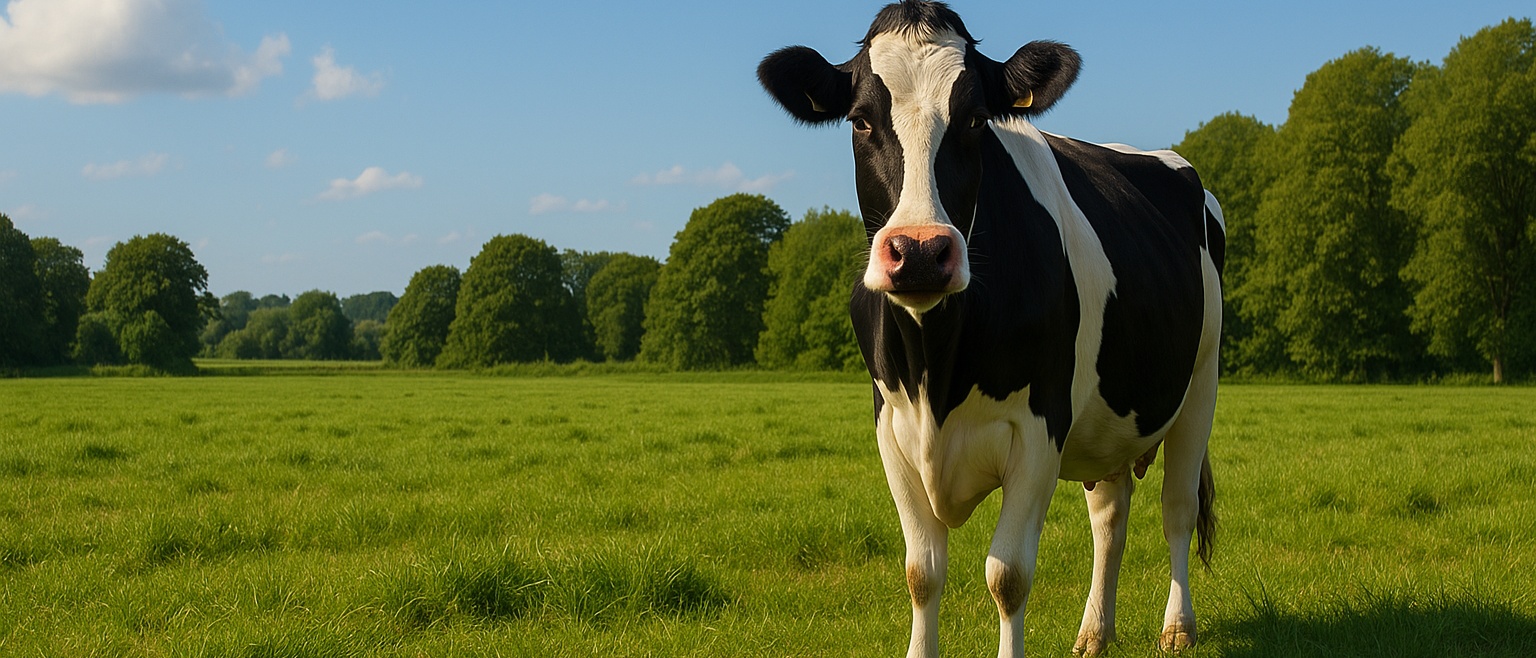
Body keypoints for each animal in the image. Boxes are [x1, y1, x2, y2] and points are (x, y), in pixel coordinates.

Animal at [757, 2, 1223, 656]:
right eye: (859, 120)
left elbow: (1008, 575)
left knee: (1176, 508)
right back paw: (1093, 633)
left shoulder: (1039, 428)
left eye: (976, 119)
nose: (920, 252)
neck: (937, 366)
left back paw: (1178, 627)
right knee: (1110, 516)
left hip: (1200, 384)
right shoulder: (891, 427)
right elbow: (921, 573)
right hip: (1110, 418)